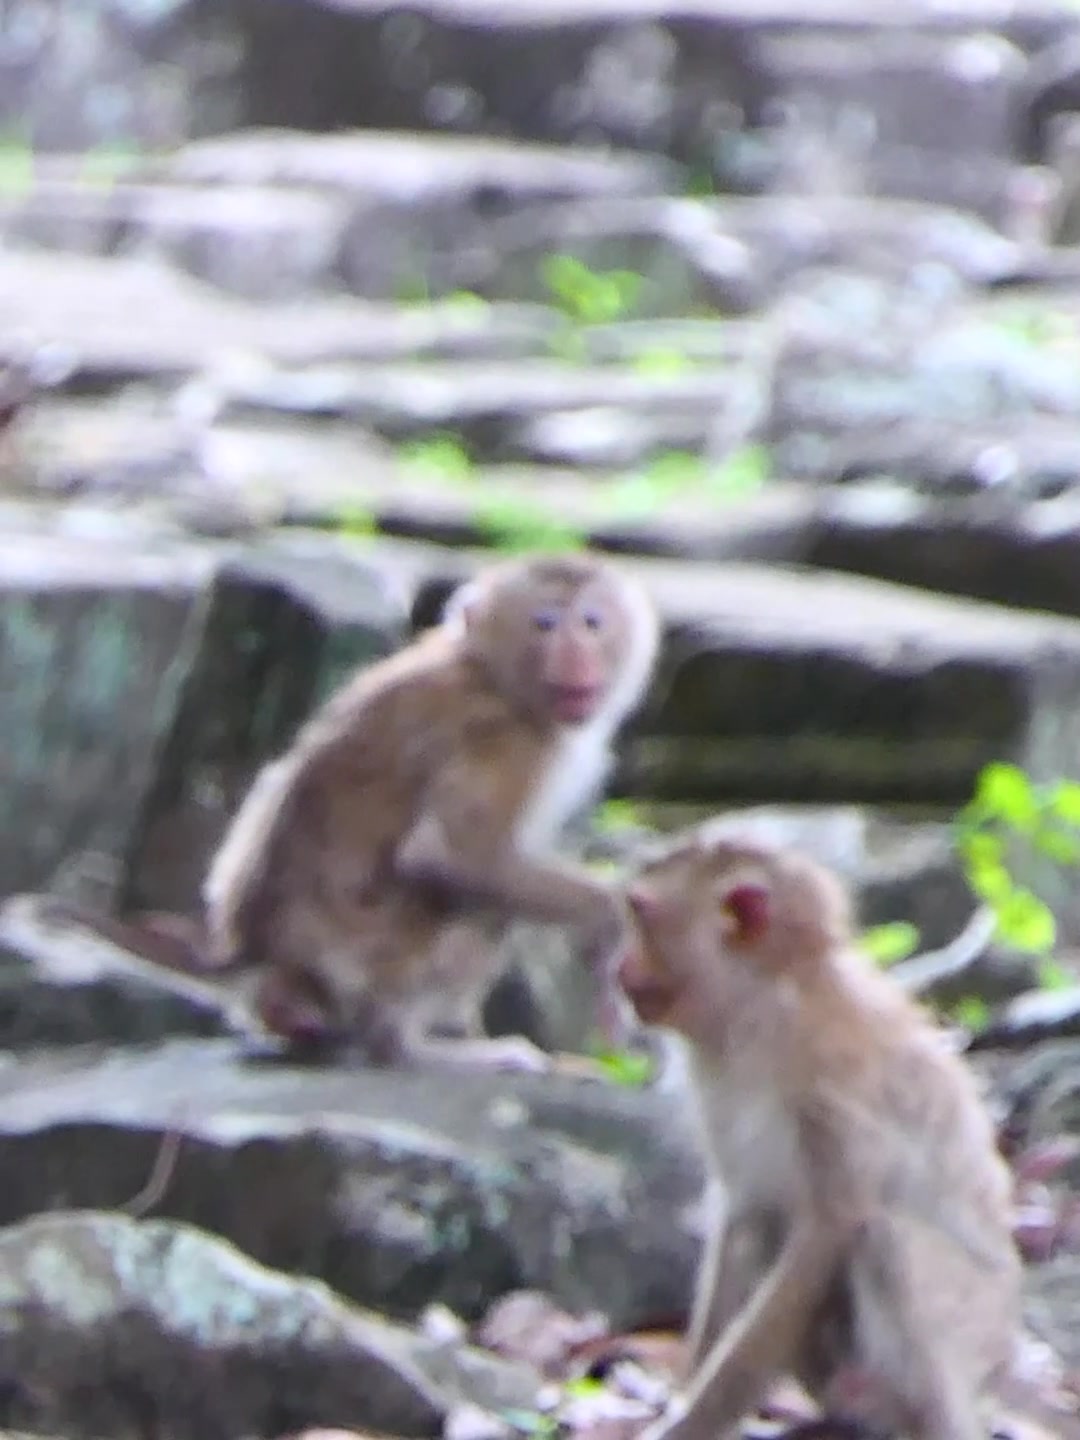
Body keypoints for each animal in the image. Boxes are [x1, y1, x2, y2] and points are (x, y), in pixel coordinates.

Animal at [190, 550, 660, 1071]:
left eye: (592, 622)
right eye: (545, 623)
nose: (576, 651)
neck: (488, 672)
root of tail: (265, 965)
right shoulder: (506, 741)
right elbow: (447, 856)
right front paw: (610, 926)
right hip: (370, 962)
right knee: (479, 909)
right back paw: (405, 1045)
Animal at [614, 831, 1022, 1440]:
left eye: (640, 914)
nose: (619, 968)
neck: (764, 1006)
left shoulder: (829, 1079)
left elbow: (831, 1224)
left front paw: (690, 1421)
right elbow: (745, 1213)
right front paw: (685, 1393)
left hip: (976, 1333)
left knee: (883, 1236)